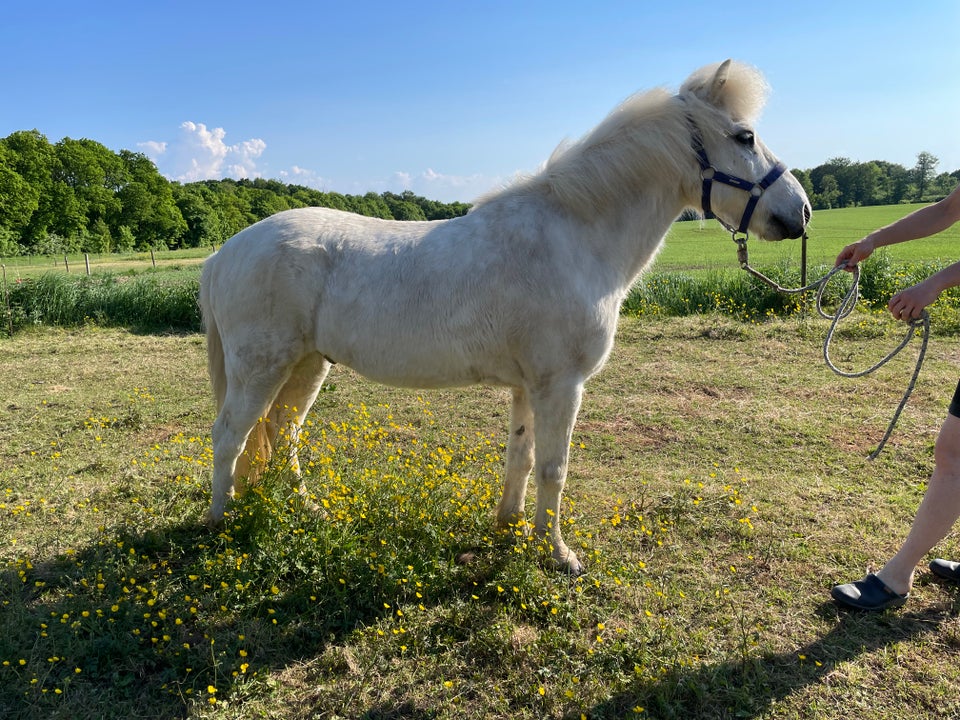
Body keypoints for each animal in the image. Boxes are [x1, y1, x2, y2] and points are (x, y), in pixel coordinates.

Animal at [201, 59, 808, 572]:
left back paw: (305, 511)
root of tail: (221, 254)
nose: (799, 212)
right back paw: (219, 521)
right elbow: (553, 467)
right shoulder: (561, 384)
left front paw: (511, 528)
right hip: (261, 367)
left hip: (308, 363)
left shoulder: (527, 385)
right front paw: (559, 554)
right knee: (231, 433)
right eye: (744, 136)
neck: (572, 237)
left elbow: (521, 455)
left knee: (281, 430)